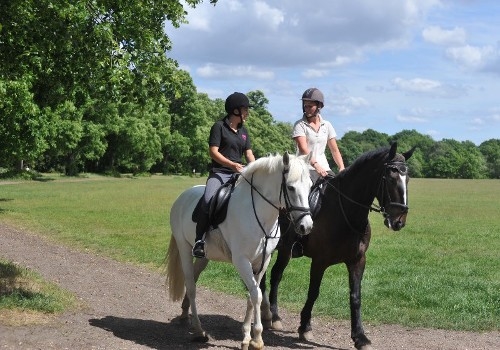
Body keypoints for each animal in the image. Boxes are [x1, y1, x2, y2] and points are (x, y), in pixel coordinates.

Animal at [166, 153, 312, 350]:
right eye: (290, 187)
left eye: (310, 186)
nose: (306, 226)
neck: (258, 215)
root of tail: (183, 196)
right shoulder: (242, 260)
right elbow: (256, 295)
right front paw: (257, 339)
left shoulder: (263, 261)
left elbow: (252, 294)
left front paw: (248, 337)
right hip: (184, 248)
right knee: (191, 286)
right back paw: (198, 330)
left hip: (204, 257)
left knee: (194, 280)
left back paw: (184, 315)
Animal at [258, 142, 414, 350]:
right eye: (390, 177)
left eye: (408, 179)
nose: (399, 221)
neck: (346, 212)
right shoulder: (319, 261)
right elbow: (313, 292)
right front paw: (305, 327)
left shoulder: (357, 261)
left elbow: (355, 297)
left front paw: (360, 337)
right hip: (282, 250)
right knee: (273, 276)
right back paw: (272, 316)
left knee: (273, 275)